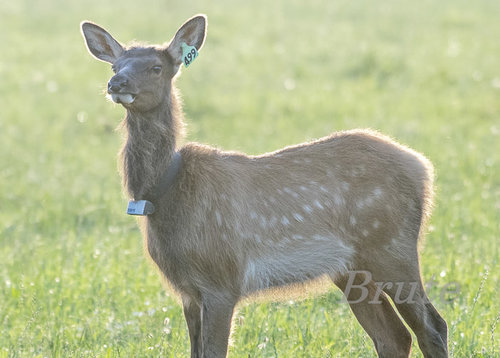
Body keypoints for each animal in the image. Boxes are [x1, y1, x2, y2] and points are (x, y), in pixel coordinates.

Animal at [80, 14, 448, 358]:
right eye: (115, 64)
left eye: (156, 67)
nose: (116, 82)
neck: (164, 193)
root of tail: (423, 167)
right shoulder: (187, 291)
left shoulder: (222, 279)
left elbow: (214, 350)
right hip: (353, 268)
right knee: (393, 337)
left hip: (393, 245)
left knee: (432, 324)